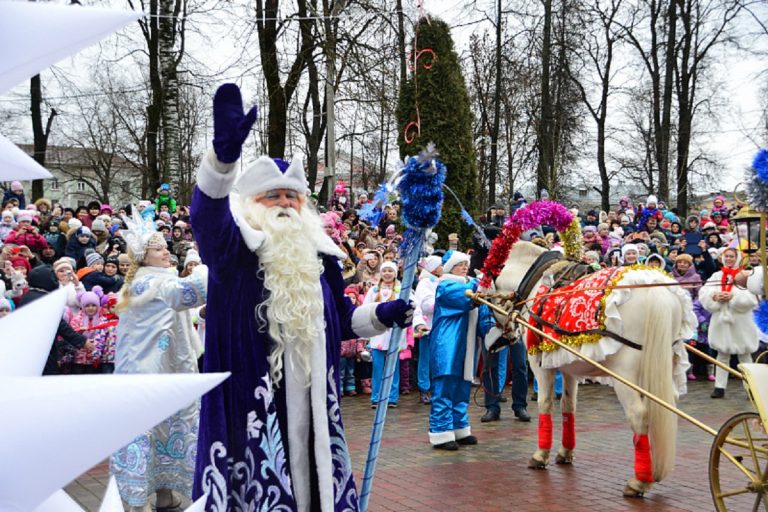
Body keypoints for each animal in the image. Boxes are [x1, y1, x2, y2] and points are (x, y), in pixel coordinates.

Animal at [492, 242, 696, 498]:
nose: (505, 338)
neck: (538, 283)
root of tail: (656, 292)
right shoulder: (568, 367)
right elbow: (568, 406)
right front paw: (565, 452)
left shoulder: (540, 366)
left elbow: (545, 404)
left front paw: (540, 455)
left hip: (626, 376)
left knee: (639, 415)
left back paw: (639, 481)